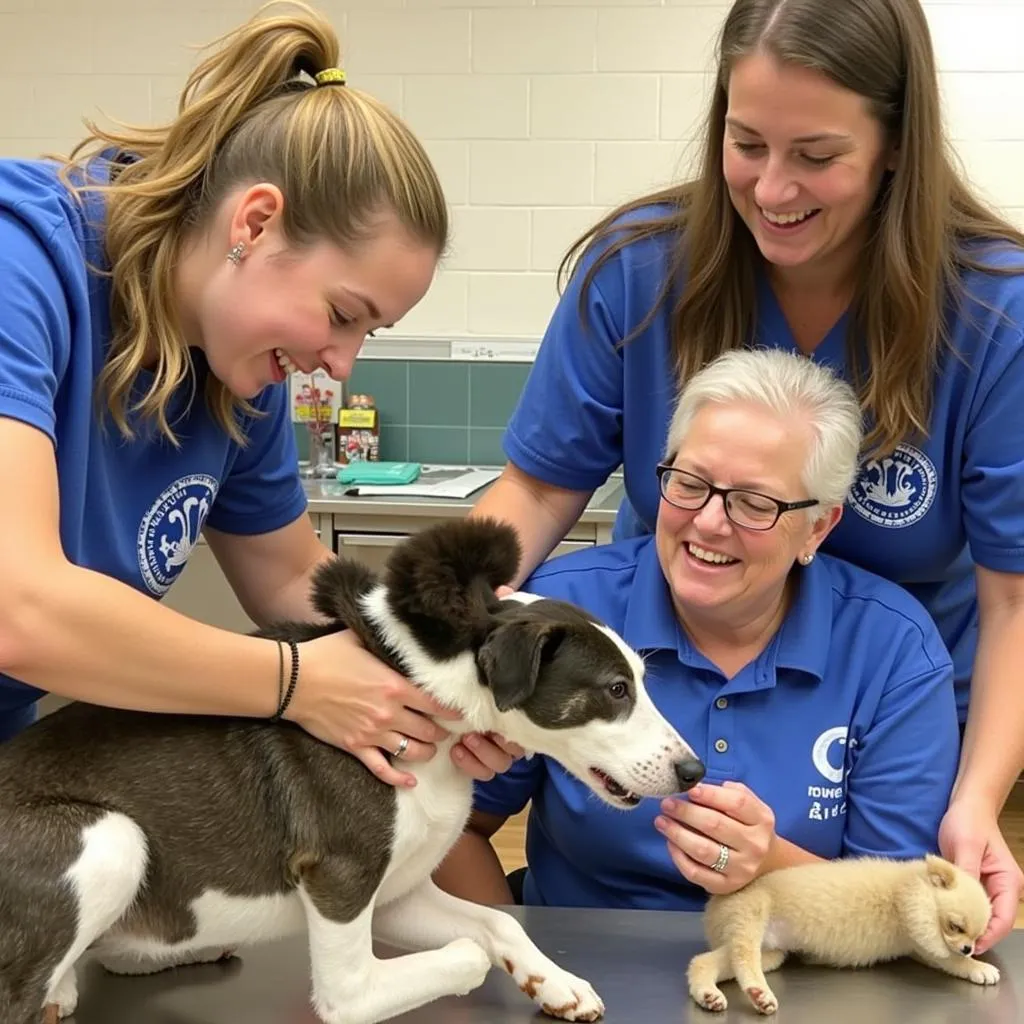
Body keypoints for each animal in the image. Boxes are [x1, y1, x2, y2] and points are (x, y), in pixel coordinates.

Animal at [0, 520, 704, 1024]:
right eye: (615, 690)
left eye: (641, 679)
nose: (693, 769)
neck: (432, 692)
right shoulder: (341, 885)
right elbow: (434, 966)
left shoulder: (395, 891)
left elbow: (498, 921)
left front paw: (557, 983)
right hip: (109, 839)